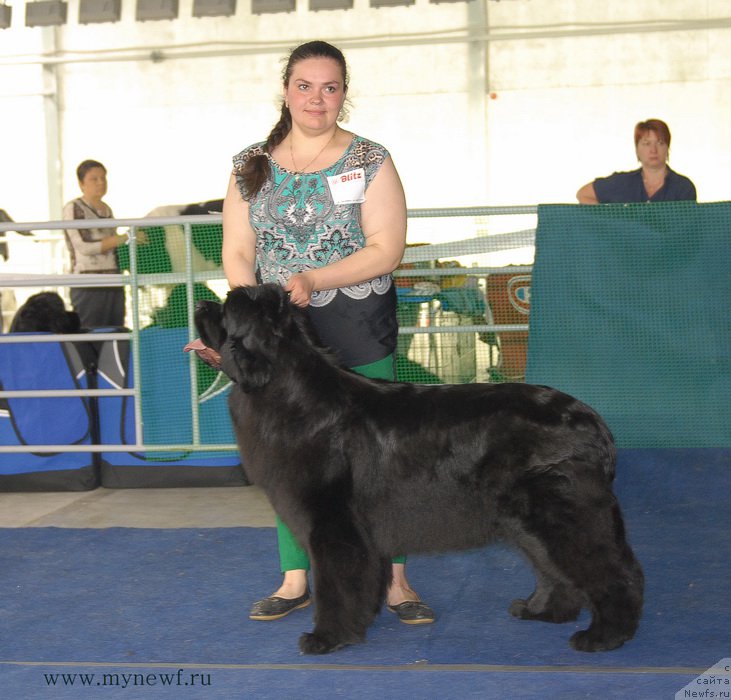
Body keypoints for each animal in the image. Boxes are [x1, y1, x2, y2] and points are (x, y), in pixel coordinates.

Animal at [194, 284, 648, 656]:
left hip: (563, 514)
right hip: (528, 521)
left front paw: (327, 638)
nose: (200, 303)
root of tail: (593, 421)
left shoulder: (333, 527)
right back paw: (542, 612)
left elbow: (336, 586)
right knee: (555, 570)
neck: (289, 389)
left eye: (227, 309)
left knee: (613, 571)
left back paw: (604, 636)